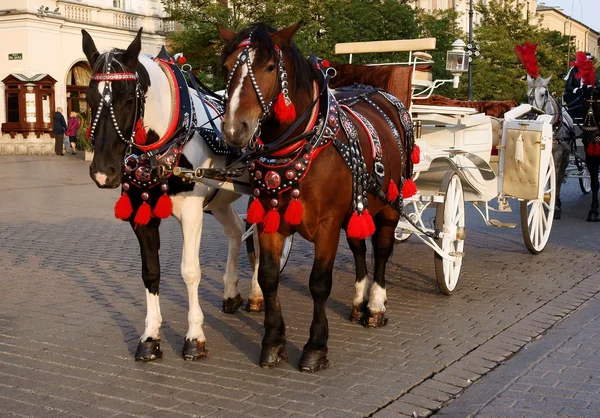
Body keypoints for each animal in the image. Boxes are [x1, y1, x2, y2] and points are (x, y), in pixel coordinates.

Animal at [82, 27, 264, 360]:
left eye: (127, 98)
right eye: (88, 98)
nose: (103, 172)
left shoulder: (191, 213)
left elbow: (190, 271)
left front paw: (194, 336)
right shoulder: (140, 214)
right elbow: (150, 272)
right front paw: (150, 336)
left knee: (260, 235)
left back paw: (257, 293)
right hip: (219, 200)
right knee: (236, 231)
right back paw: (231, 292)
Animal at [218, 23, 414, 372]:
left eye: (270, 67)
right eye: (227, 68)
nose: (234, 130)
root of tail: (380, 92)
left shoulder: (327, 225)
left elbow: (319, 283)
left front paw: (315, 347)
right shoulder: (269, 219)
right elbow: (268, 277)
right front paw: (273, 342)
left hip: (391, 204)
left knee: (381, 250)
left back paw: (375, 306)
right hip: (358, 207)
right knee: (359, 246)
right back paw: (359, 300)